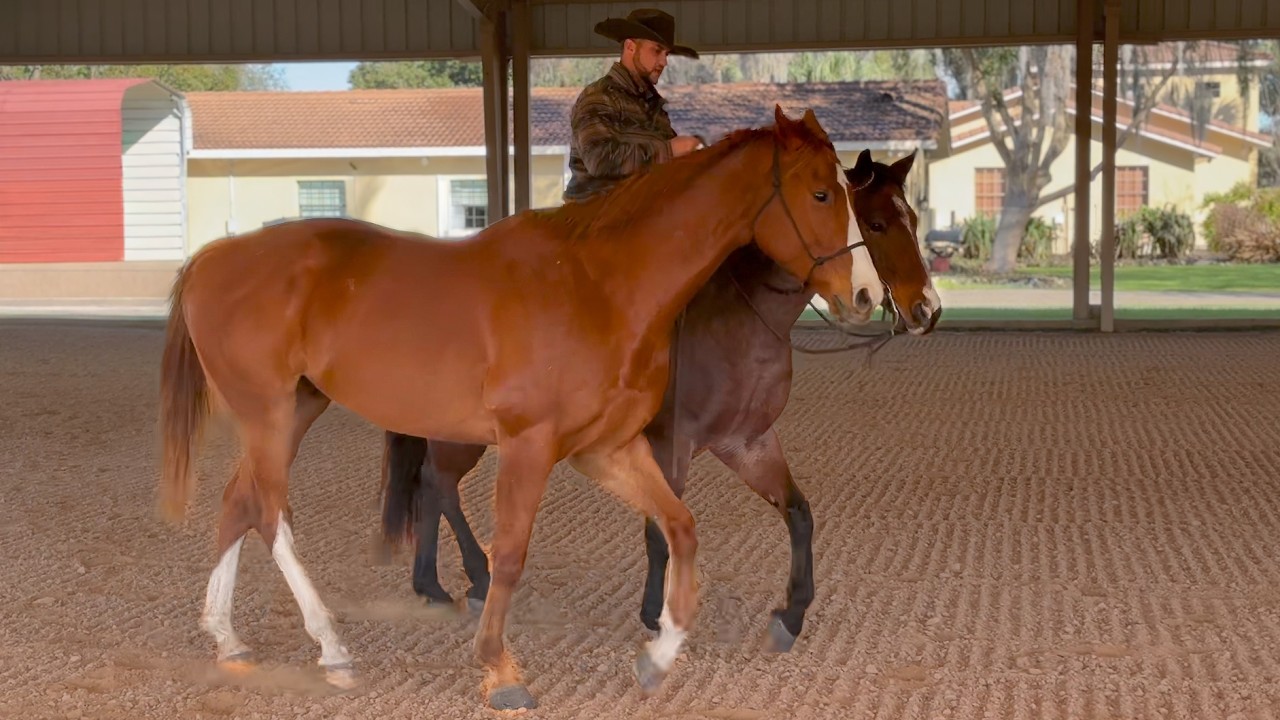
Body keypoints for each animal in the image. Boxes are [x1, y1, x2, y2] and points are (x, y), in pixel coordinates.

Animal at [377, 148, 941, 660]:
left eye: (912, 220)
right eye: (873, 223)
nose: (927, 309)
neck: (741, 321)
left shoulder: (747, 442)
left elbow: (798, 514)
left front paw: (791, 615)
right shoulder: (673, 441)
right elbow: (659, 527)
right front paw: (655, 612)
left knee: (430, 485)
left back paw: (434, 583)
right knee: (439, 482)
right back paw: (472, 577)